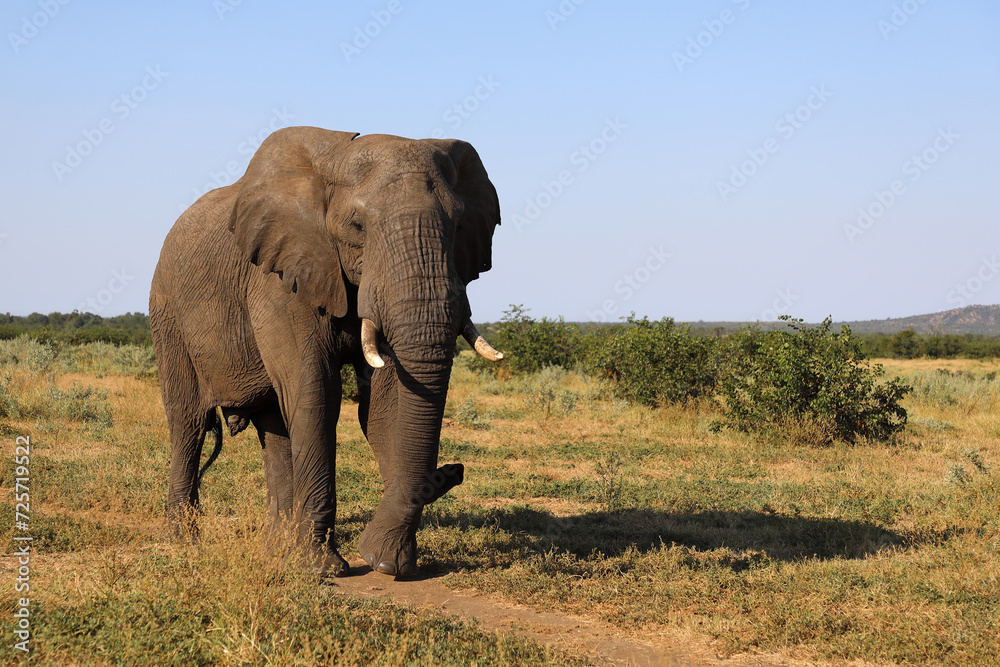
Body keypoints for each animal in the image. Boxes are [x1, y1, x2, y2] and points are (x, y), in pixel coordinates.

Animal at [149, 126, 502, 577]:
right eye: (357, 226)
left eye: (458, 225)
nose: (454, 470)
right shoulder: (280, 278)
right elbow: (317, 391)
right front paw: (324, 569)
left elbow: (385, 402)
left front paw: (387, 561)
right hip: (167, 313)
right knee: (188, 421)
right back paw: (186, 542)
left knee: (274, 426)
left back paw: (276, 549)